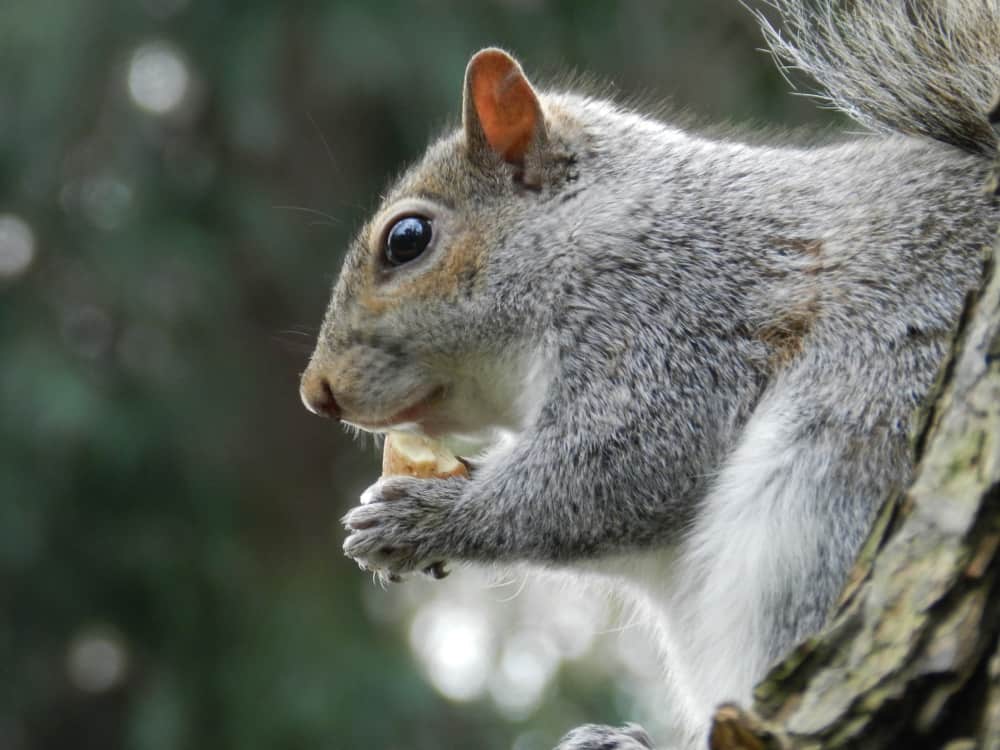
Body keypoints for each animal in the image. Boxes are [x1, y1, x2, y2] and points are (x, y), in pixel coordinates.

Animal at [296, 2, 1000, 748]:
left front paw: (418, 519)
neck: (593, 228)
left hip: (827, 487)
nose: (316, 393)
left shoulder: (677, 315)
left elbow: (628, 466)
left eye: (407, 240)